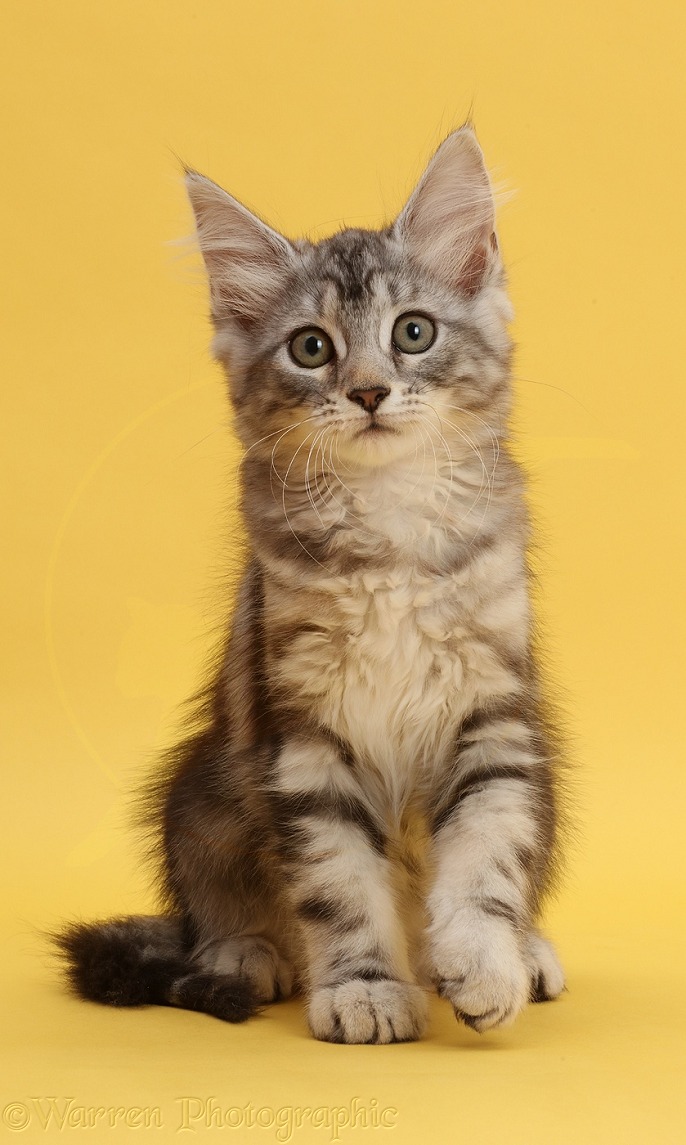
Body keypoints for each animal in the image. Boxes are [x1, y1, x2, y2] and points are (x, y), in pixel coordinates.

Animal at [56, 127, 565, 1048]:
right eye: (311, 347)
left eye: (413, 332)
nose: (367, 391)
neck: (388, 523)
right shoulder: (300, 734)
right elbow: (340, 882)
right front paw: (364, 987)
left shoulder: (496, 718)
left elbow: (488, 851)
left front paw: (483, 960)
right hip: (201, 789)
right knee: (211, 901)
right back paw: (245, 950)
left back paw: (520, 949)